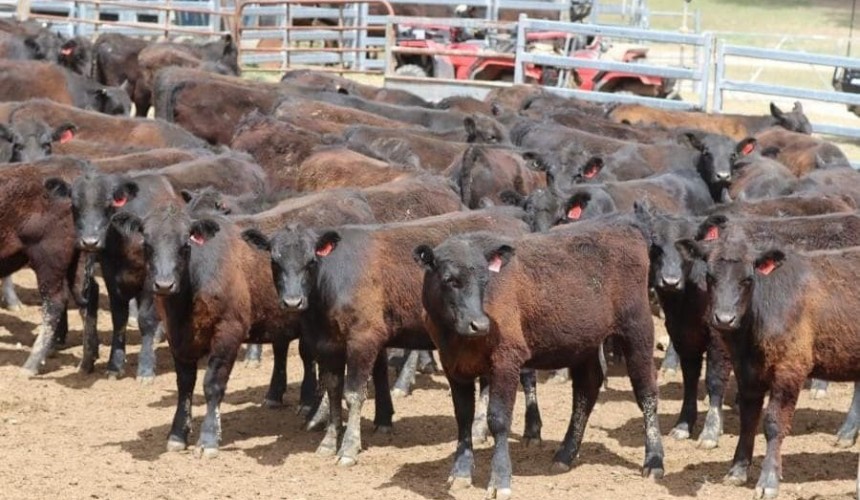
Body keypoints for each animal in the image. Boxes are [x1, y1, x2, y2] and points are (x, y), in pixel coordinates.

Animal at [414, 219, 664, 498]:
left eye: (485, 279)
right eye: (449, 279)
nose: (479, 325)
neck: (457, 338)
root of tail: (624, 225)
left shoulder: (506, 360)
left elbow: (498, 419)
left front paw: (499, 479)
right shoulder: (453, 367)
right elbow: (464, 418)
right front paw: (460, 472)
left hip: (638, 328)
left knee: (646, 391)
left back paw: (654, 460)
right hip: (585, 340)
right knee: (587, 388)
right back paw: (565, 455)